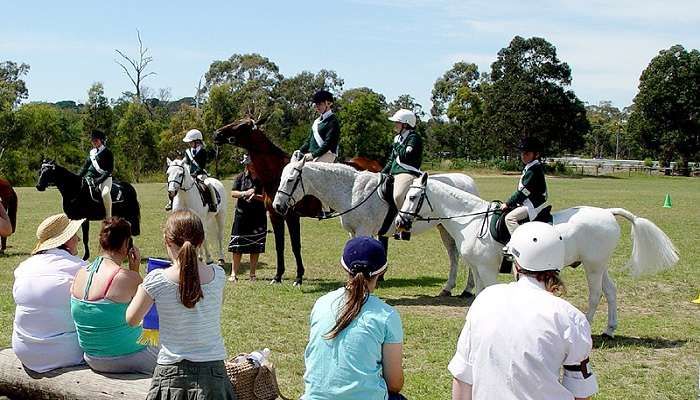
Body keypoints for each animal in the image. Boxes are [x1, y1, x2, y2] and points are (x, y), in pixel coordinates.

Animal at [215, 117, 382, 286]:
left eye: (242, 126)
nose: (217, 134)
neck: (277, 175)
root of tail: (375, 165)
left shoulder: (291, 216)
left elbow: (296, 246)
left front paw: (299, 277)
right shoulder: (275, 215)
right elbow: (279, 246)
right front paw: (278, 276)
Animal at [272, 154, 482, 296]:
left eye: (290, 180)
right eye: (280, 178)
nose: (277, 206)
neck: (351, 190)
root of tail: (466, 180)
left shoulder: (363, 231)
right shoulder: (353, 233)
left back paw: (467, 290)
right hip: (444, 229)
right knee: (453, 255)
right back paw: (448, 288)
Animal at [396, 173, 680, 338]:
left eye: (412, 196)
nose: (400, 223)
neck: (473, 221)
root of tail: (608, 213)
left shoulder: (487, 269)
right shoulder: (477, 268)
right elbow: (478, 295)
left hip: (593, 266)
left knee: (596, 294)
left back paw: (588, 327)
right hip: (600, 265)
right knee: (611, 290)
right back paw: (609, 330)